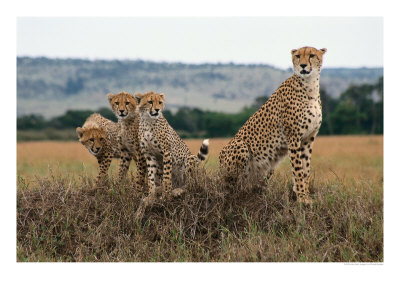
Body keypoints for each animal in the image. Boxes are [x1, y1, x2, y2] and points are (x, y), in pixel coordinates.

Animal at [219, 45, 328, 204]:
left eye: (312, 55)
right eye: (297, 56)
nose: (302, 65)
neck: (310, 85)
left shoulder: (308, 138)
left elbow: (305, 169)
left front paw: (306, 195)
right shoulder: (293, 137)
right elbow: (298, 169)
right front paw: (301, 198)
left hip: (268, 167)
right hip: (240, 146)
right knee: (230, 185)